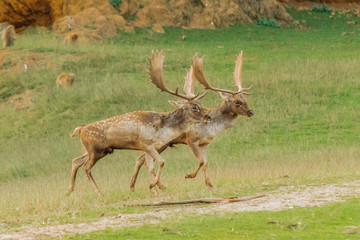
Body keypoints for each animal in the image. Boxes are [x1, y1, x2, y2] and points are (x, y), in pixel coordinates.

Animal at [67, 50, 211, 195]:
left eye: (200, 103)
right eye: (194, 107)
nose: (209, 116)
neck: (162, 129)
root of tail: (80, 129)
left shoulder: (150, 147)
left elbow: (152, 166)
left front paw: (153, 187)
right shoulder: (146, 144)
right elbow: (161, 162)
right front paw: (153, 185)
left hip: (96, 150)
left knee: (76, 161)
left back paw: (69, 190)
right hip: (95, 150)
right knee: (86, 167)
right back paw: (99, 193)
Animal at [130, 51, 253, 191]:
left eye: (245, 100)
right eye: (237, 102)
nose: (251, 112)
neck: (211, 129)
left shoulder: (205, 143)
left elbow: (206, 163)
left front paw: (209, 184)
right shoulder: (191, 139)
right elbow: (200, 161)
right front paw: (189, 175)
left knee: (141, 159)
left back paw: (140, 187)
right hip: (158, 142)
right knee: (143, 159)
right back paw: (155, 186)